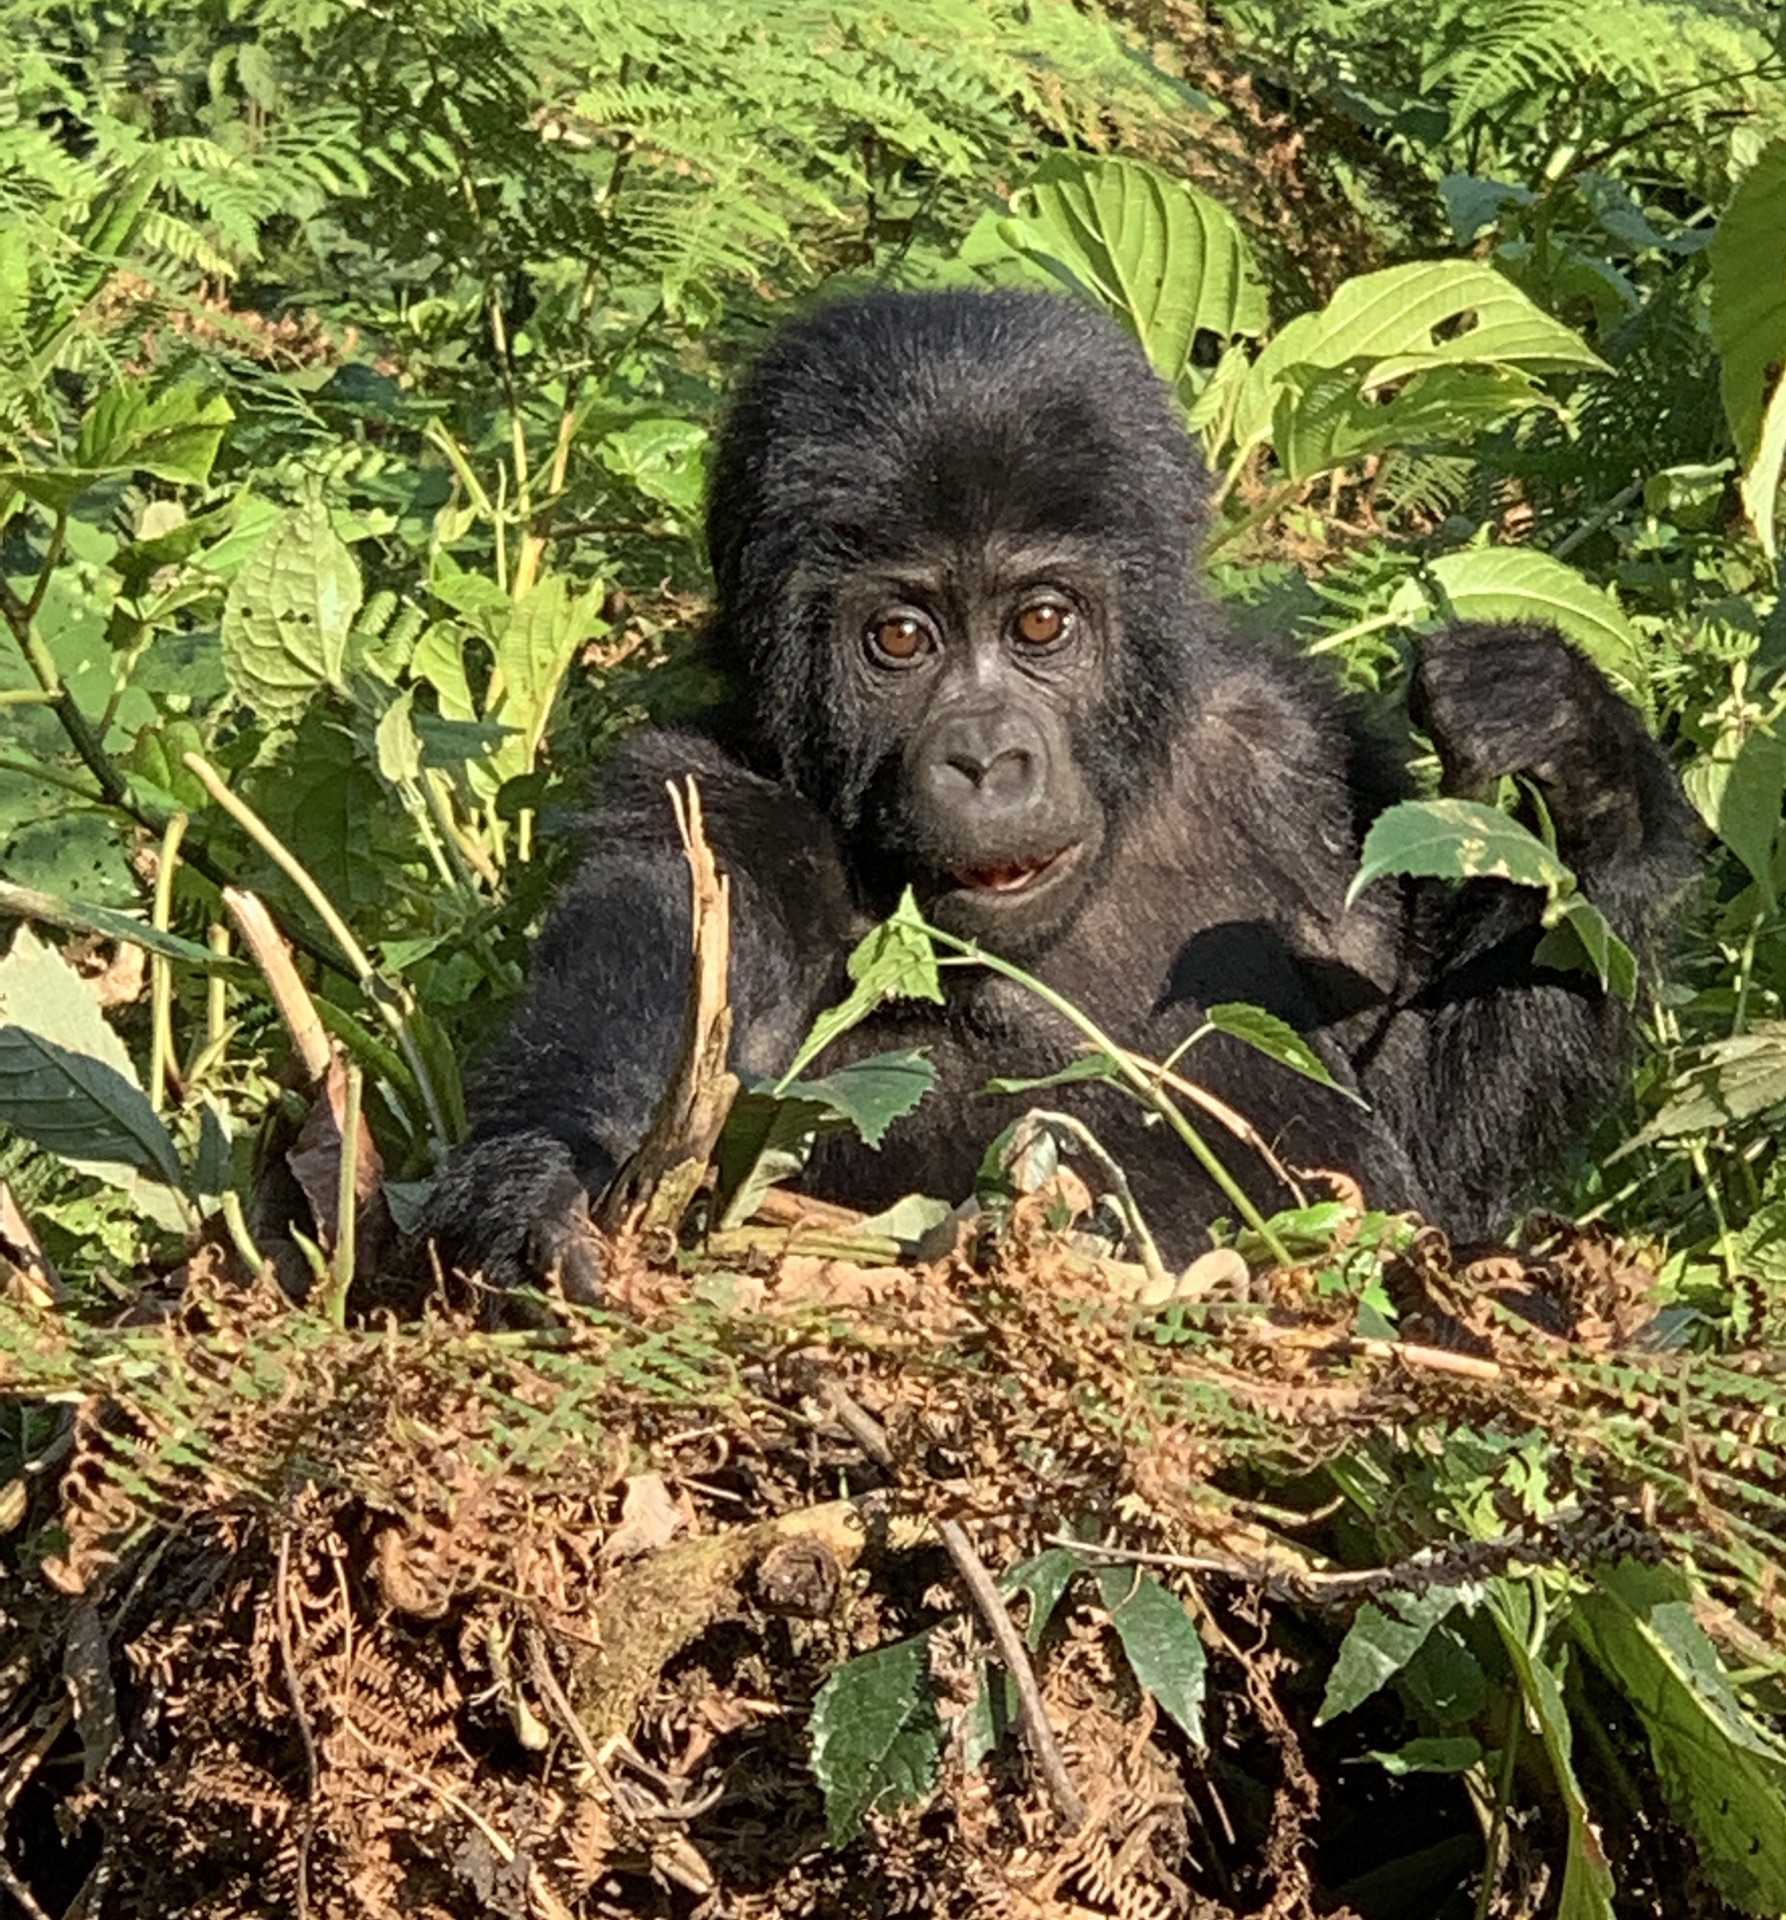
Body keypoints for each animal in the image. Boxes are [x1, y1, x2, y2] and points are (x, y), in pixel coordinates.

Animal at [424, 288, 1689, 1305]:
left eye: (1040, 623)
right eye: (900, 639)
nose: (986, 760)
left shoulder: (1297, 762)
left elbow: (1434, 1154)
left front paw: (1574, 754)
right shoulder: (700, 800)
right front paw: (537, 1186)